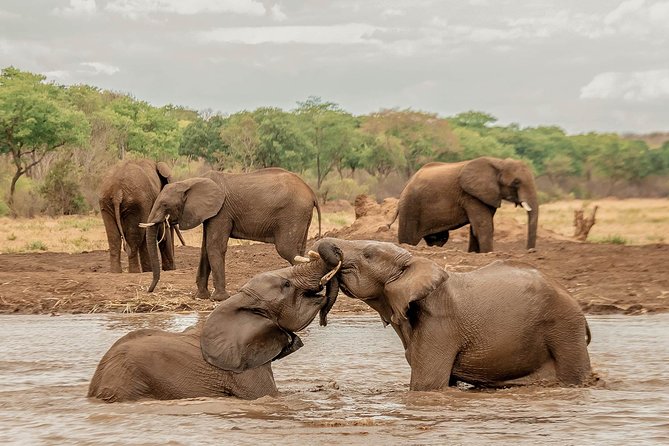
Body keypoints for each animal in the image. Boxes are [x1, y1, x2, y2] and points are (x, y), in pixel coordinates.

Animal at [87, 242, 343, 402]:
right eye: (286, 285)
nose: (338, 249)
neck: (238, 301)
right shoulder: (242, 372)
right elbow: (268, 395)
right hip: (125, 382)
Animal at [140, 168, 322, 301]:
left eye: (165, 205)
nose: (149, 291)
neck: (191, 182)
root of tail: (311, 192)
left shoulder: (222, 212)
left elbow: (214, 247)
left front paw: (219, 298)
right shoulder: (211, 213)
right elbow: (205, 249)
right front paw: (201, 297)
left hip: (293, 214)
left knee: (288, 250)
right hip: (301, 217)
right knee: (299, 251)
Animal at [389, 157, 539, 252]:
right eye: (516, 182)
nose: (530, 251)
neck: (498, 163)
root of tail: (406, 185)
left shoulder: (486, 195)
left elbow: (477, 227)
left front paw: (475, 253)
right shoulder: (469, 195)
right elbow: (483, 225)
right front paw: (488, 253)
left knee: (439, 239)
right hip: (410, 207)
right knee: (408, 238)